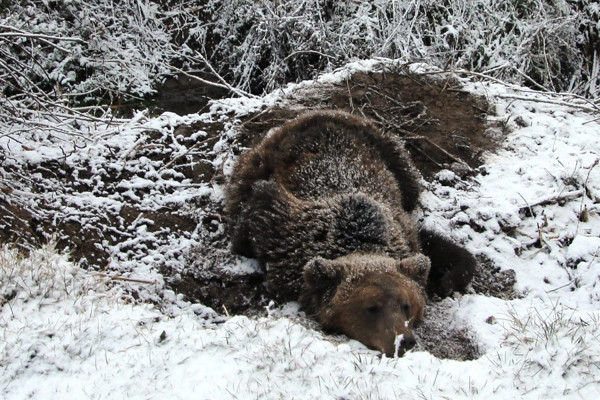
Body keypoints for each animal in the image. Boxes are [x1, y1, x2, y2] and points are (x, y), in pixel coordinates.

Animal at [225, 109, 474, 356]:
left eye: (407, 305)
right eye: (371, 308)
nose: (403, 341)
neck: (359, 239)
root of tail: (323, 112)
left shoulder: (402, 229)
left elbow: (436, 247)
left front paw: (448, 280)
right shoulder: (285, 233)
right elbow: (254, 216)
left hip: (394, 158)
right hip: (259, 161)